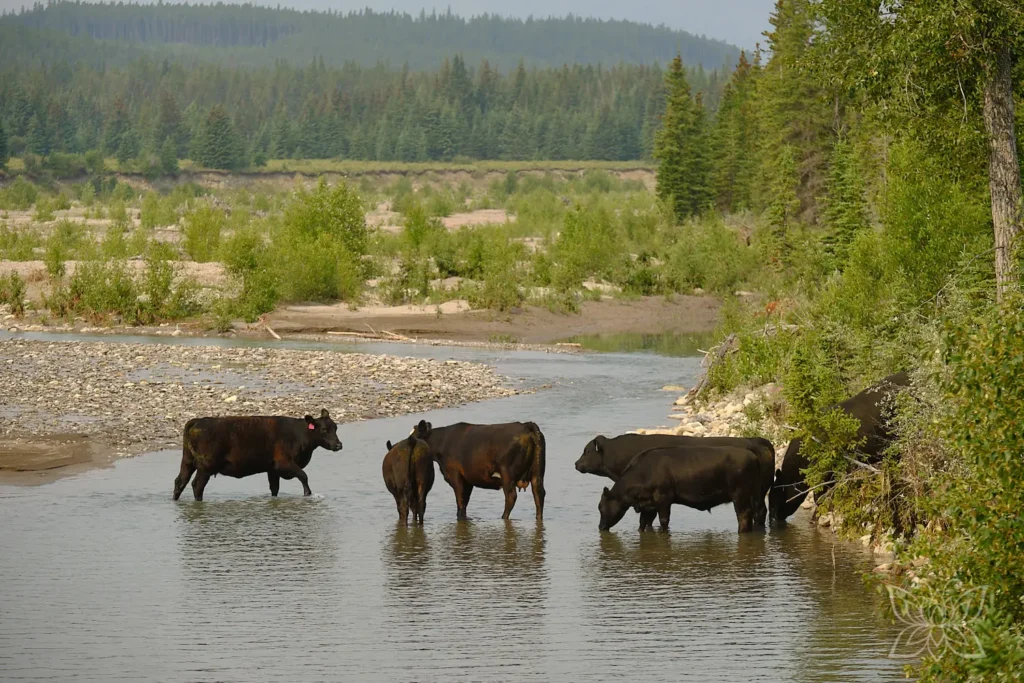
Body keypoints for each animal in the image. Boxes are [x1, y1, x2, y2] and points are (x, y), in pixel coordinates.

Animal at [172, 409, 343, 501]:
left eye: (336, 427)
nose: (338, 445)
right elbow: (303, 476)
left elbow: (274, 488)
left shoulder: (272, 469)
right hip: (206, 466)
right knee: (197, 485)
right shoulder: (284, 463)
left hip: (187, 462)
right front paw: (308, 494)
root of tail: (199, 421)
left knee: (180, 482)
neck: (299, 434)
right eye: (324, 430)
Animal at [413, 419, 546, 520]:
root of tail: (525, 425)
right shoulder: (468, 480)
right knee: (539, 494)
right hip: (537, 473)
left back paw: (503, 517)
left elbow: (460, 501)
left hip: (507, 475)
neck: (442, 442)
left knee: (511, 497)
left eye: (414, 437)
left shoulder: (455, 475)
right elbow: (464, 502)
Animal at [576, 433, 775, 530]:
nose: (576, 464)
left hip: (744, 495)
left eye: (586, 451)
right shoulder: (648, 505)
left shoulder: (662, 500)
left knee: (748, 515)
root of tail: (758, 441)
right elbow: (645, 523)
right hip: (757, 494)